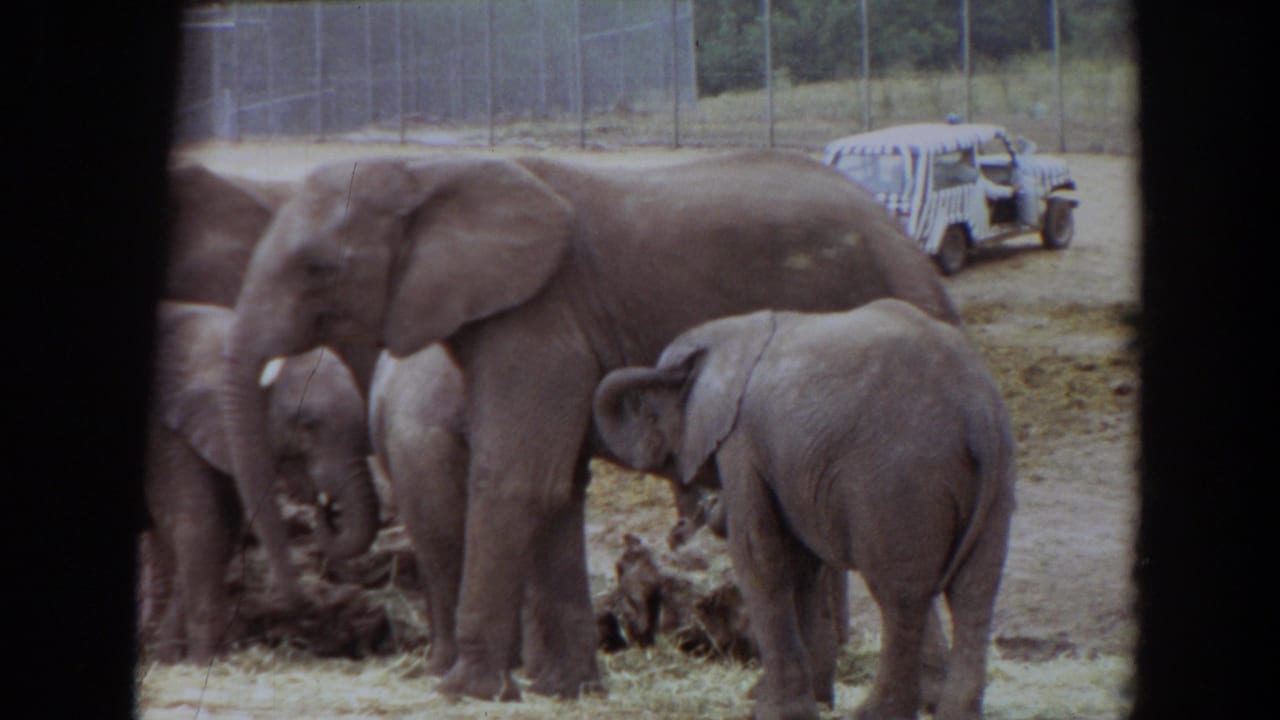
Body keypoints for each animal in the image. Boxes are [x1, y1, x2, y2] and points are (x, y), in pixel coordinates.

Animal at [142, 301, 378, 662]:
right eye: (307, 424)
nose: (323, 506)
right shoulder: (166, 431)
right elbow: (201, 526)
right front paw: (201, 663)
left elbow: (224, 531)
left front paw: (169, 658)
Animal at [217, 150, 961, 700]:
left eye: (318, 268)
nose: (297, 596)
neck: (428, 170)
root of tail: (914, 250)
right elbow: (555, 489)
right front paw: (564, 692)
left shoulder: (540, 317)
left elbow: (516, 481)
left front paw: (464, 692)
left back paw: (919, 698)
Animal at [593, 299, 1016, 720]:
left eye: (648, 412)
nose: (691, 520)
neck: (728, 336)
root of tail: (976, 411)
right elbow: (804, 564)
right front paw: (813, 699)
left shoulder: (742, 443)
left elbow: (760, 558)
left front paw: (774, 709)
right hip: (996, 476)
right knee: (975, 592)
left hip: (900, 481)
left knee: (902, 598)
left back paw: (873, 713)